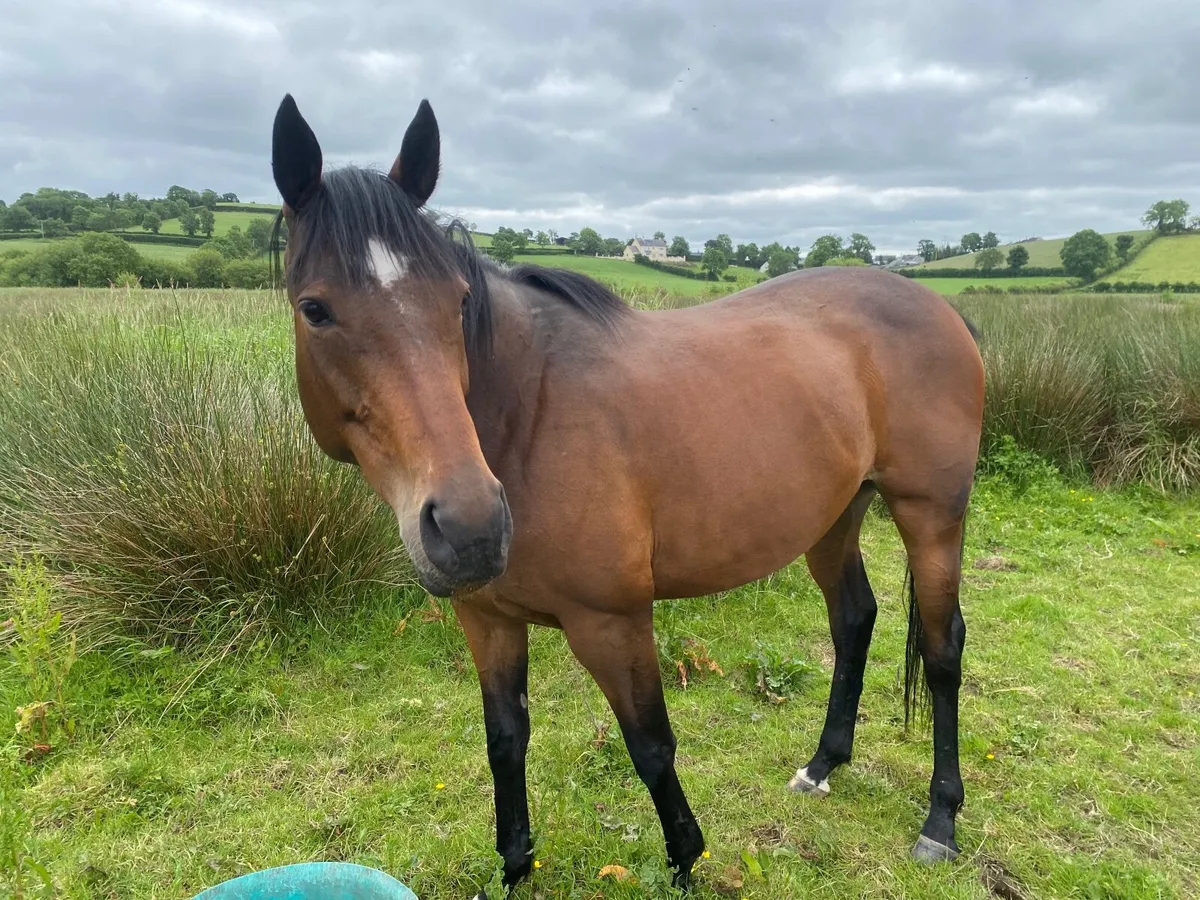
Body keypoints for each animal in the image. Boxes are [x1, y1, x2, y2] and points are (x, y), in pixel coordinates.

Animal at [269, 94, 984, 896]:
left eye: (457, 301)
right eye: (315, 309)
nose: (472, 528)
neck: (527, 414)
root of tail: (940, 309)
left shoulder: (611, 623)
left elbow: (650, 746)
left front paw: (686, 859)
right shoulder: (487, 620)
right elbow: (505, 741)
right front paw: (516, 866)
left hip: (931, 516)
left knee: (943, 648)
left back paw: (940, 821)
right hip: (834, 516)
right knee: (854, 620)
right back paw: (822, 764)